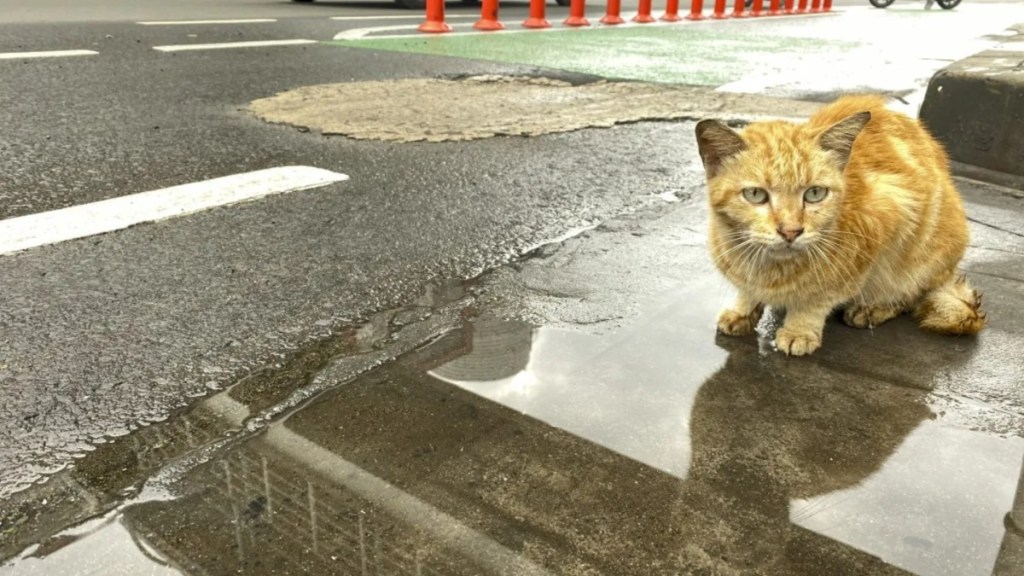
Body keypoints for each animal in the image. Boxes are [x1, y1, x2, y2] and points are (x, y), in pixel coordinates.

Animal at [696, 94, 983, 354]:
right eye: (756, 194)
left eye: (815, 193)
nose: (791, 231)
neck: (768, 267)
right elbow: (746, 292)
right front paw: (743, 310)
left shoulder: (881, 230)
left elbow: (817, 298)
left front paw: (799, 329)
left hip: (921, 260)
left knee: (909, 295)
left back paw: (874, 308)